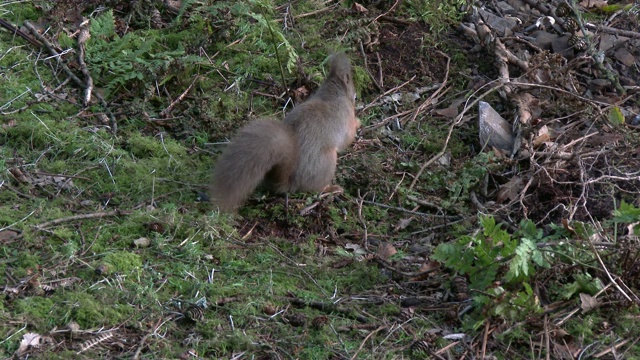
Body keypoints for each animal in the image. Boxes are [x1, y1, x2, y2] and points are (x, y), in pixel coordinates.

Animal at [211, 53, 358, 211]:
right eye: (354, 95)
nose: (356, 98)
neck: (333, 94)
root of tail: (290, 183)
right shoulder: (345, 118)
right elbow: (348, 138)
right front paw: (358, 122)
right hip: (327, 161)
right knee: (315, 188)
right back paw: (332, 188)